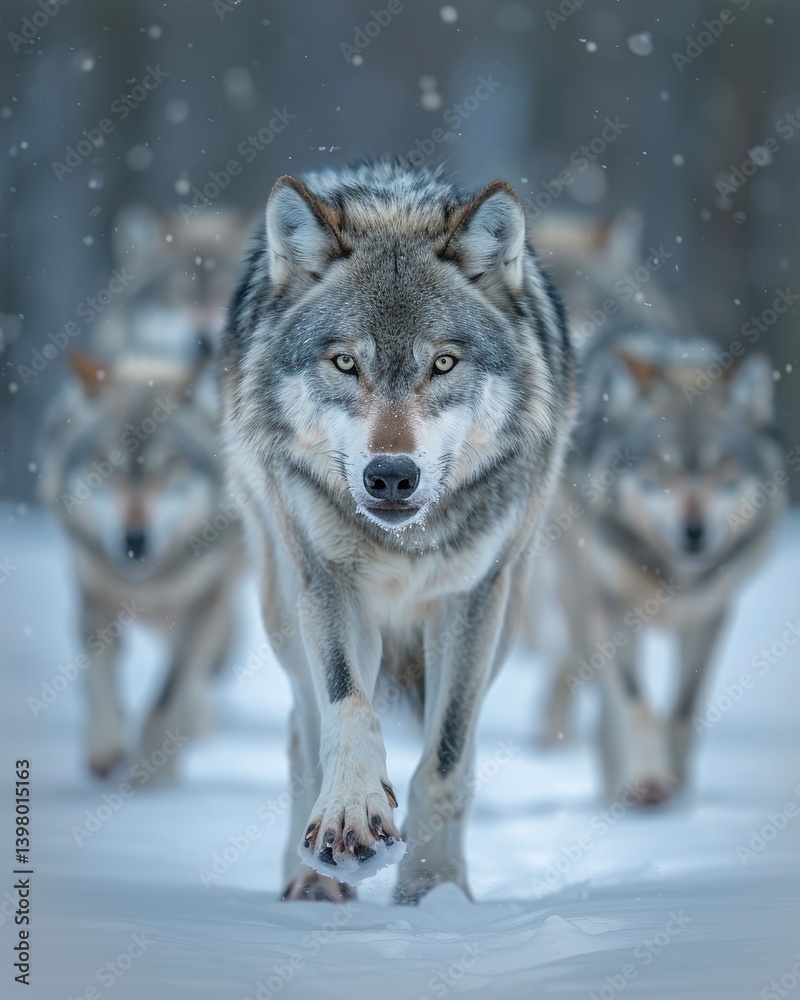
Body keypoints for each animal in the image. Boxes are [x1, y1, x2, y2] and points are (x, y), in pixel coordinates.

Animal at [40, 349, 245, 778]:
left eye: (169, 468)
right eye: (106, 467)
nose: (134, 539)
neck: (146, 582)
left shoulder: (203, 599)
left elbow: (166, 696)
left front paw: (151, 778)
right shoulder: (92, 592)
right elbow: (98, 674)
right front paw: (105, 745)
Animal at [221, 160, 576, 903]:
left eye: (441, 364)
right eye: (345, 363)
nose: (390, 476)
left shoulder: (473, 599)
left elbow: (445, 758)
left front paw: (433, 889)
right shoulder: (326, 581)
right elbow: (349, 707)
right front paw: (350, 818)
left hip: (509, 611)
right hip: (281, 602)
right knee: (304, 727)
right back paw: (313, 880)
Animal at [541, 326, 786, 802]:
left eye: (721, 466)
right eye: (660, 467)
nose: (694, 531)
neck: (673, 578)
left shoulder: (711, 616)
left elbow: (683, 711)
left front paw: (678, 785)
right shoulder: (610, 607)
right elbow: (634, 702)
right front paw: (648, 780)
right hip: (580, 601)